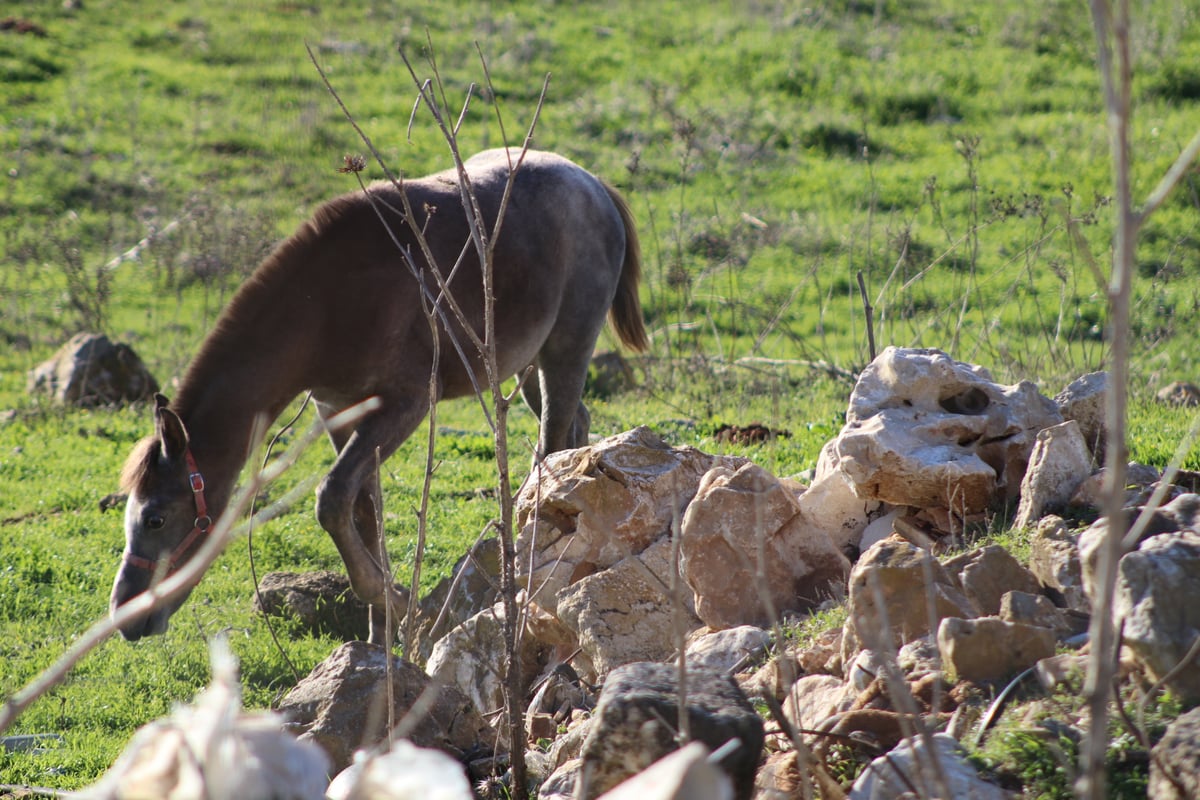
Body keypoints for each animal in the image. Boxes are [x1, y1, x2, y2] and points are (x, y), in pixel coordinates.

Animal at [112, 149, 648, 642]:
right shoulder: (340, 411)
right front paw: (379, 637)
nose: (124, 615)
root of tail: (595, 184)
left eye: (155, 518)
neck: (325, 305)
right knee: (574, 426)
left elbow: (332, 498)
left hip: (566, 348)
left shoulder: (405, 405)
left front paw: (400, 600)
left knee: (552, 439)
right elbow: (363, 512)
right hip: (530, 363)